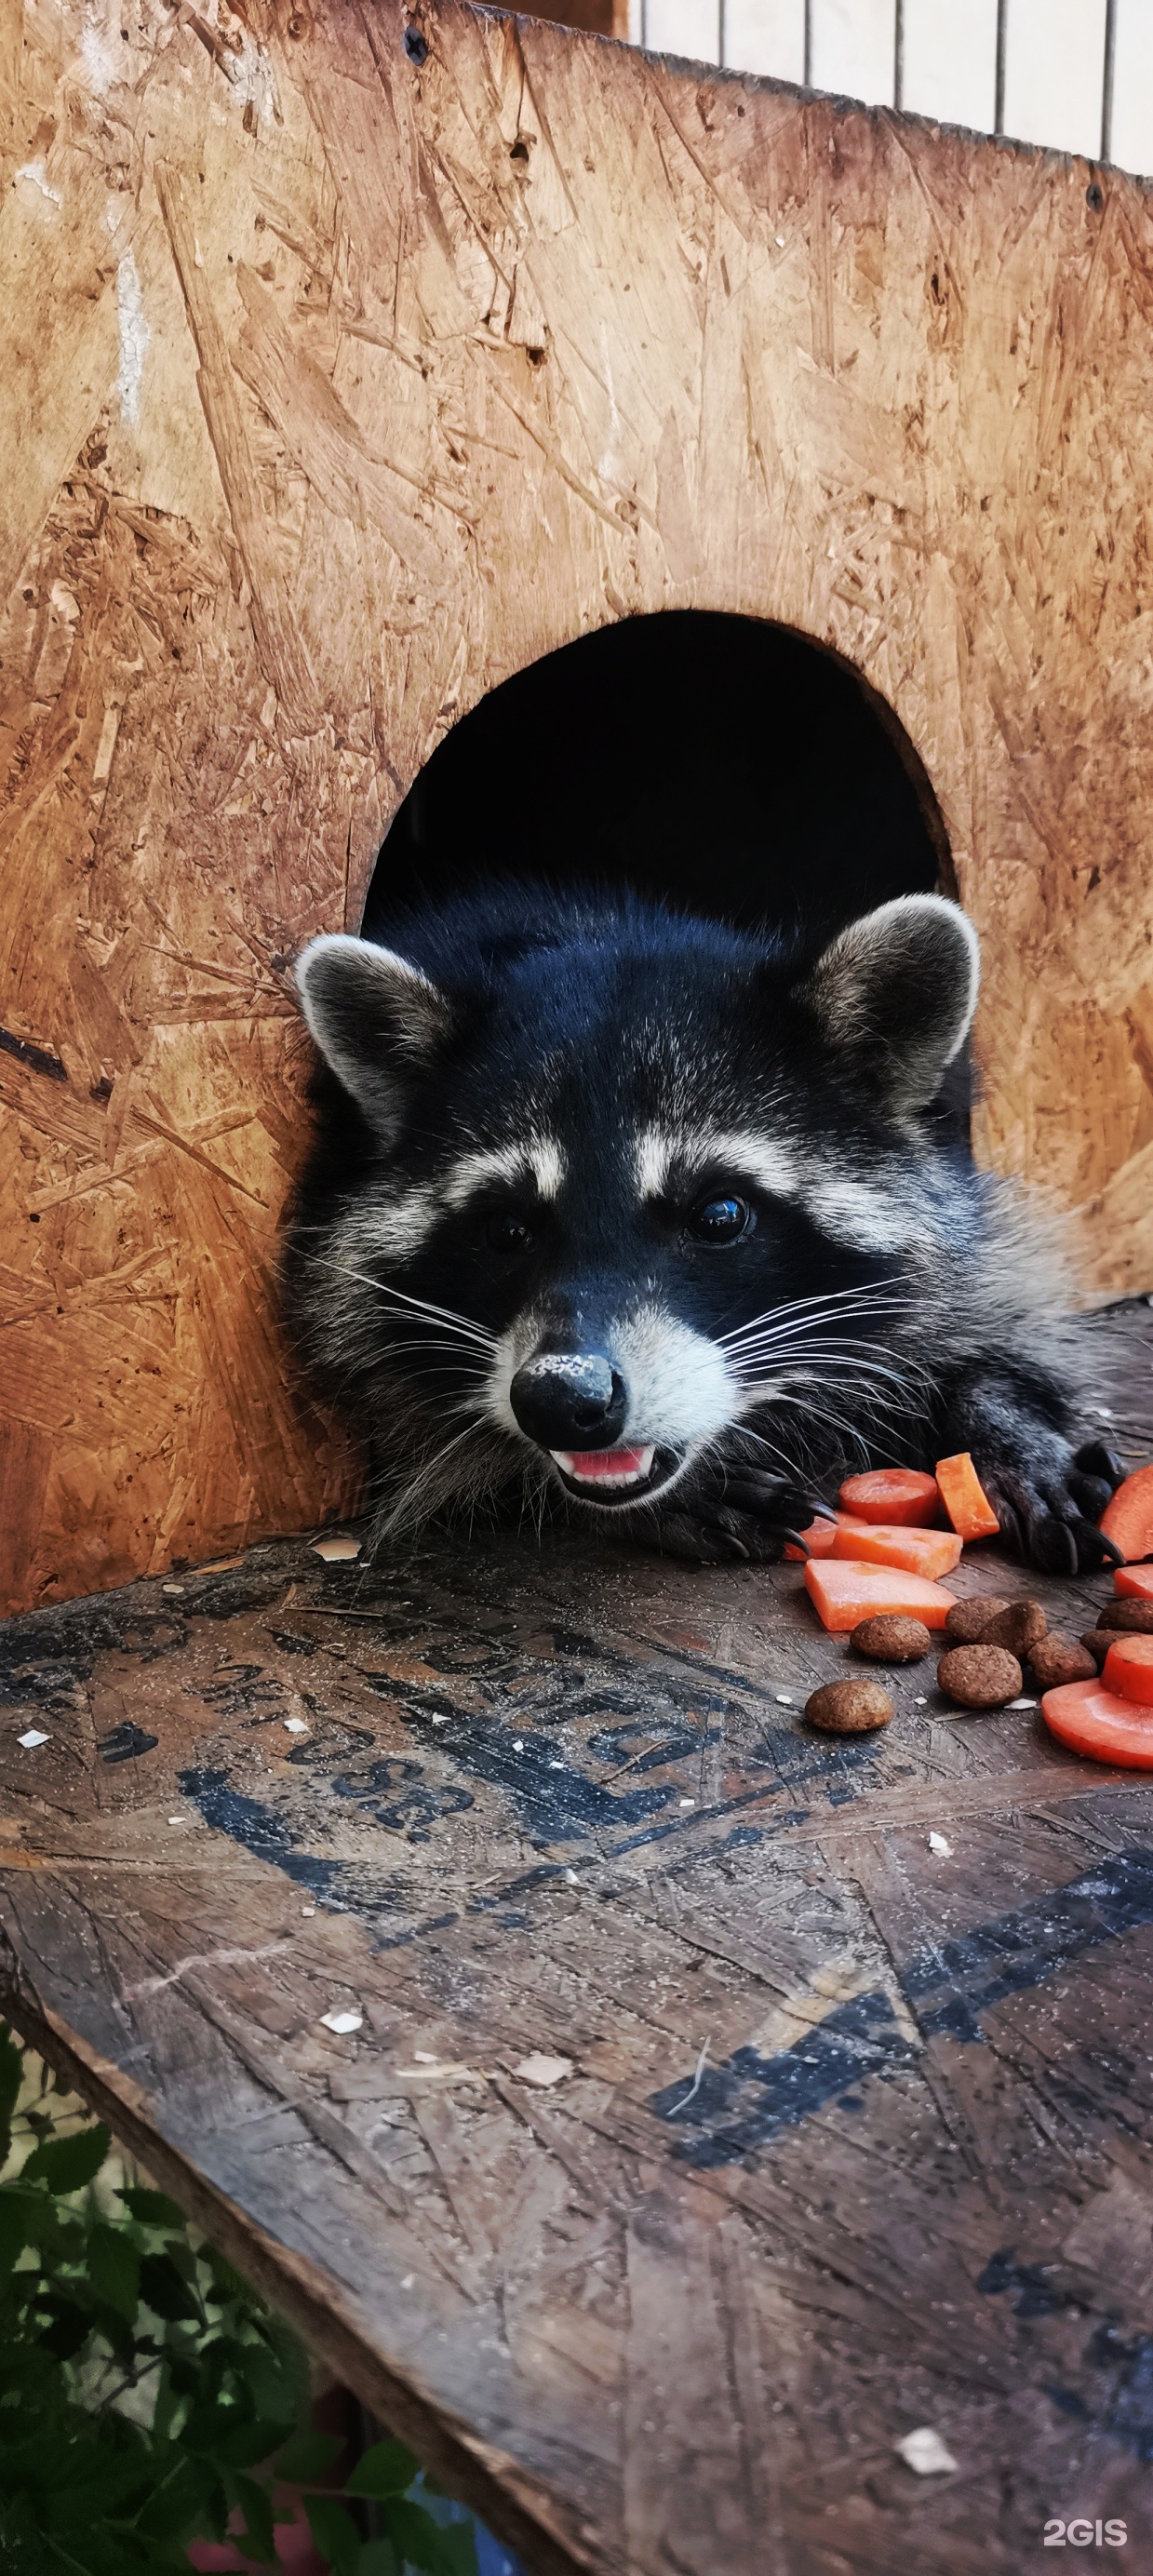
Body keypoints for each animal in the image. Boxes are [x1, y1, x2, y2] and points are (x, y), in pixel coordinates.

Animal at [283, 886, 1121, 1565]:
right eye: (504, 1231)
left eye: (719, 1216)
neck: (596, 928)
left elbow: (979, 1301)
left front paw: (1001, 1414)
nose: (561, 1400)